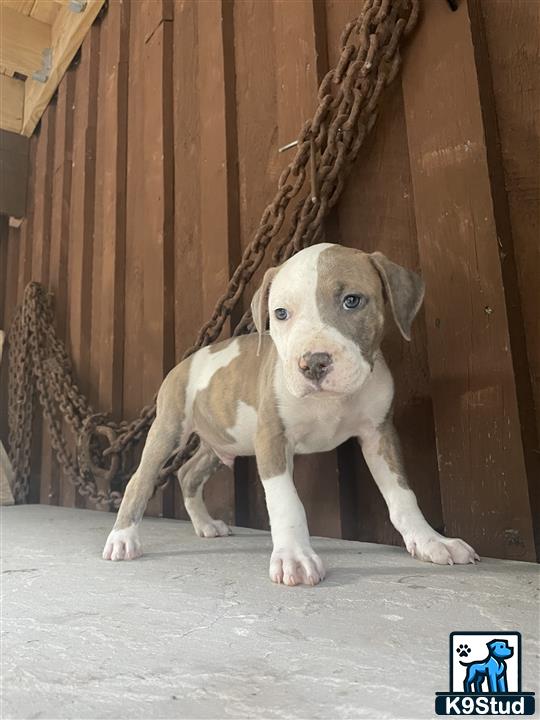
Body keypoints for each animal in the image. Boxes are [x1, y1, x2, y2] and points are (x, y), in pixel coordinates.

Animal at [103, 242, 478, 584]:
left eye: (352, 300)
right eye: (281, 313)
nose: (313, 363)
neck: (328, 401)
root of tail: (188, 359)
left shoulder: (379, 434)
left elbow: (402, 495)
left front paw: (431, 541)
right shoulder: (272, 438)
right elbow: (286, 502)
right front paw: (295, 557)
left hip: (222, 441)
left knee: (188, 474)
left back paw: (205, 524)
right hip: (169, 428)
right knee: (140, 479)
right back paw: (122, 538)